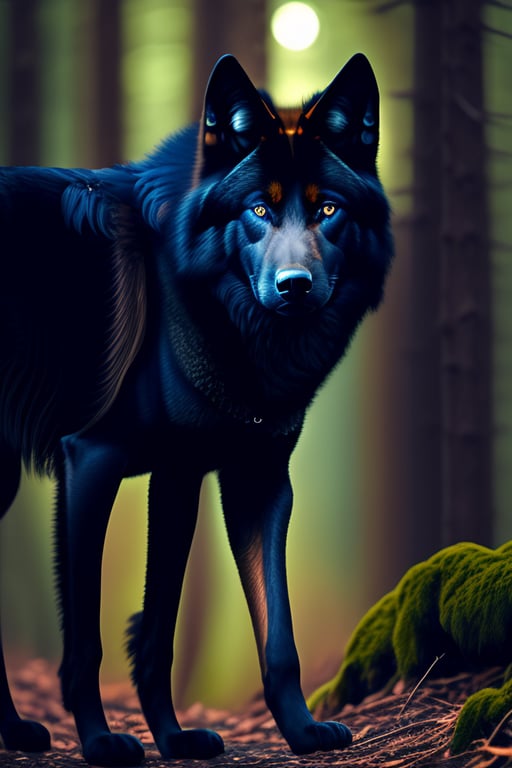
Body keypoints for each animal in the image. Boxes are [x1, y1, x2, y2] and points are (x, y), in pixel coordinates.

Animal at [0, 53, 393, 765]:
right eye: (260, 208)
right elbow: (87, 634)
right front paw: (101, 741)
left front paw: (215, 737)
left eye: (327, 208)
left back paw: (16, 731)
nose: (295, 287)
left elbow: (230, 633)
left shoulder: (229, 479)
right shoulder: (91, 462)